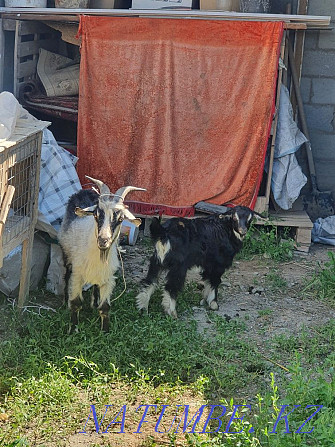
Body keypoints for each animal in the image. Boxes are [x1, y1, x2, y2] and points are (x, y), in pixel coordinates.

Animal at [57, 177, 146, 334]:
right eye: (96, 215)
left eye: (121, 219)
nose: (103, 240)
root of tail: (85, 190)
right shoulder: (77, 274)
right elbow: (76, 303)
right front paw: (73, 329)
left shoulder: (108, 277)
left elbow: (105, 307)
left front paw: (105, 331)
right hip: (67, 254)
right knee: (66, 275)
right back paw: (65, 302)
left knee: (95, 285)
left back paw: (94, 302)